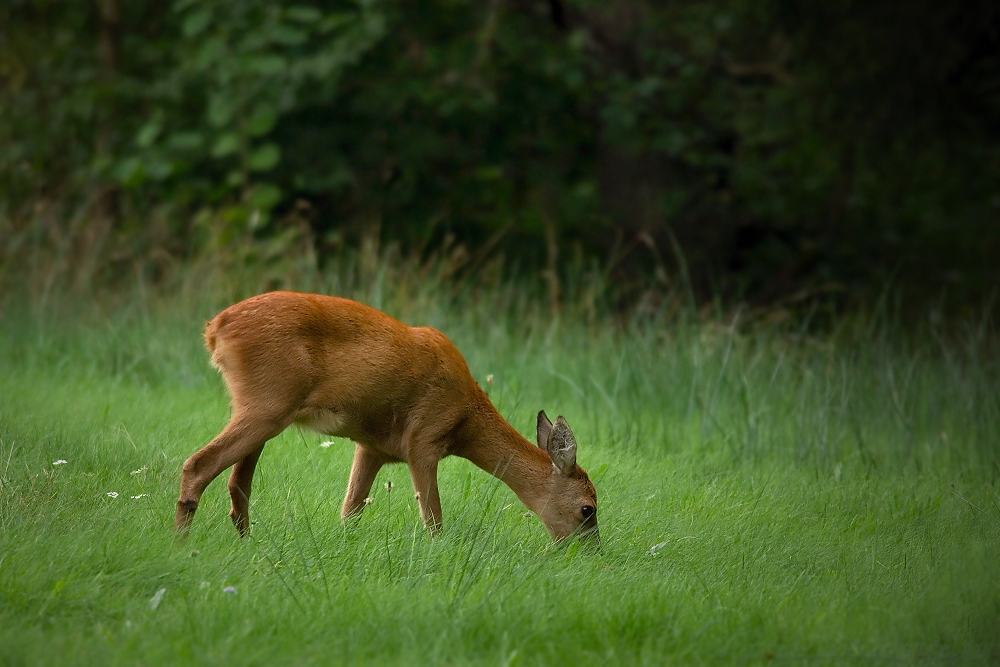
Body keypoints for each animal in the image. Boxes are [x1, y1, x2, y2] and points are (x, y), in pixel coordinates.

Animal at [175, 290, 596, 544]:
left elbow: (350, 511)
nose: (590, 552)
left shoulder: (373, 447)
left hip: (260, 407)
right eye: (588, 509)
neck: (466, 419)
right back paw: (181, 543)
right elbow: (434, 519)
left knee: (236, 483)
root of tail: (215, 328)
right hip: (267, 404)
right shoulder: (423, 440)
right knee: (198, 464)